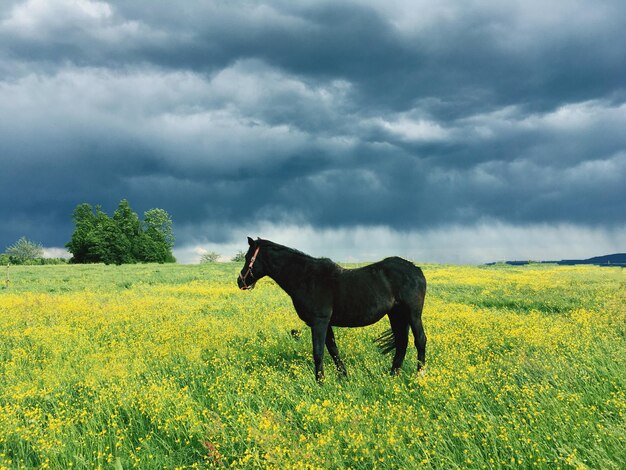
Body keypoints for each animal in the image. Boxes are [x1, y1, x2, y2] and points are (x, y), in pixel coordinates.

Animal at [236, 237, 426, 380]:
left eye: (247, 257)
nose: (240, 281)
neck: (306, 277)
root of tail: (416, 269)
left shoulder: (319, 322)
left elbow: (318, 351)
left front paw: (320, 381)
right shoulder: (326, 324)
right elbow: (333, 349)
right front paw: (343, 376)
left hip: (412, 314)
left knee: (420, 340)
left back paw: (420, 374)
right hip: (396, 315)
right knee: (402, 342)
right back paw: (393, 374)